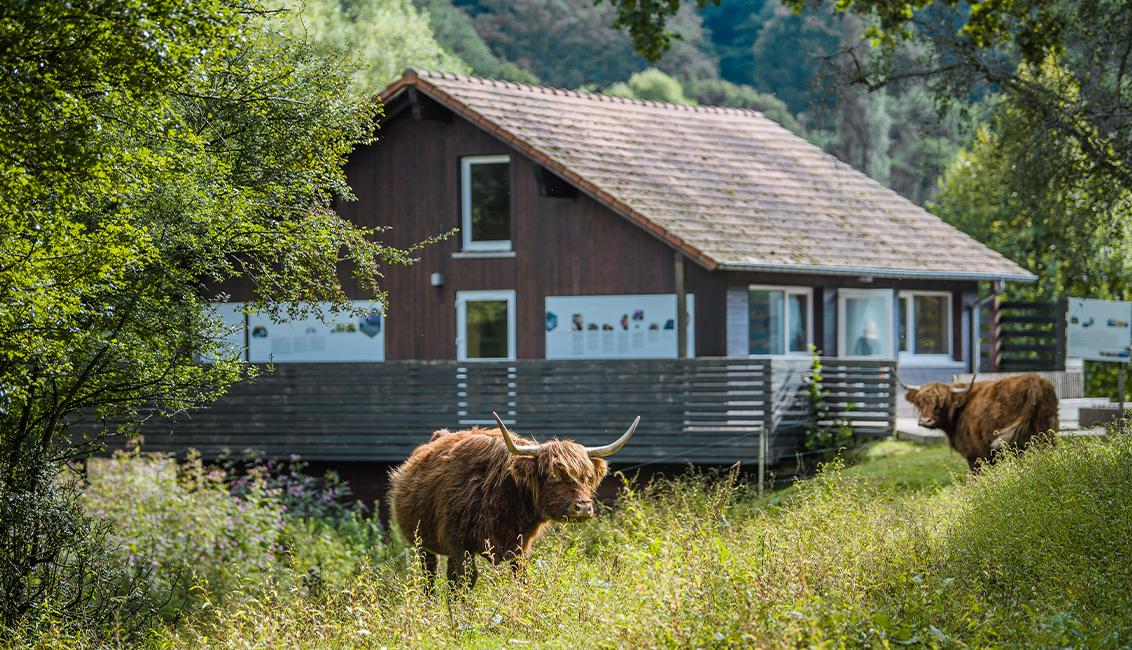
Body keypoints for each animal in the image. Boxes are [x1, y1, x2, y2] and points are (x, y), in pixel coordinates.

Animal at [387, 412, 638, 588]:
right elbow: (464, 582)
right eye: (552, 476)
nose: (584, 507)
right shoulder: (459, 545)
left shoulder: (521, 547)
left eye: (586, 477)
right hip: (423, 543)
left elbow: (521, 580)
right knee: (430, 578)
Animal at [896, 371, 1055, 473]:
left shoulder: (975, 456)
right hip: (1046, 435)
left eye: (940, 403)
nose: (925, 421)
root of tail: (1032, 379)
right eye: (919, 402)